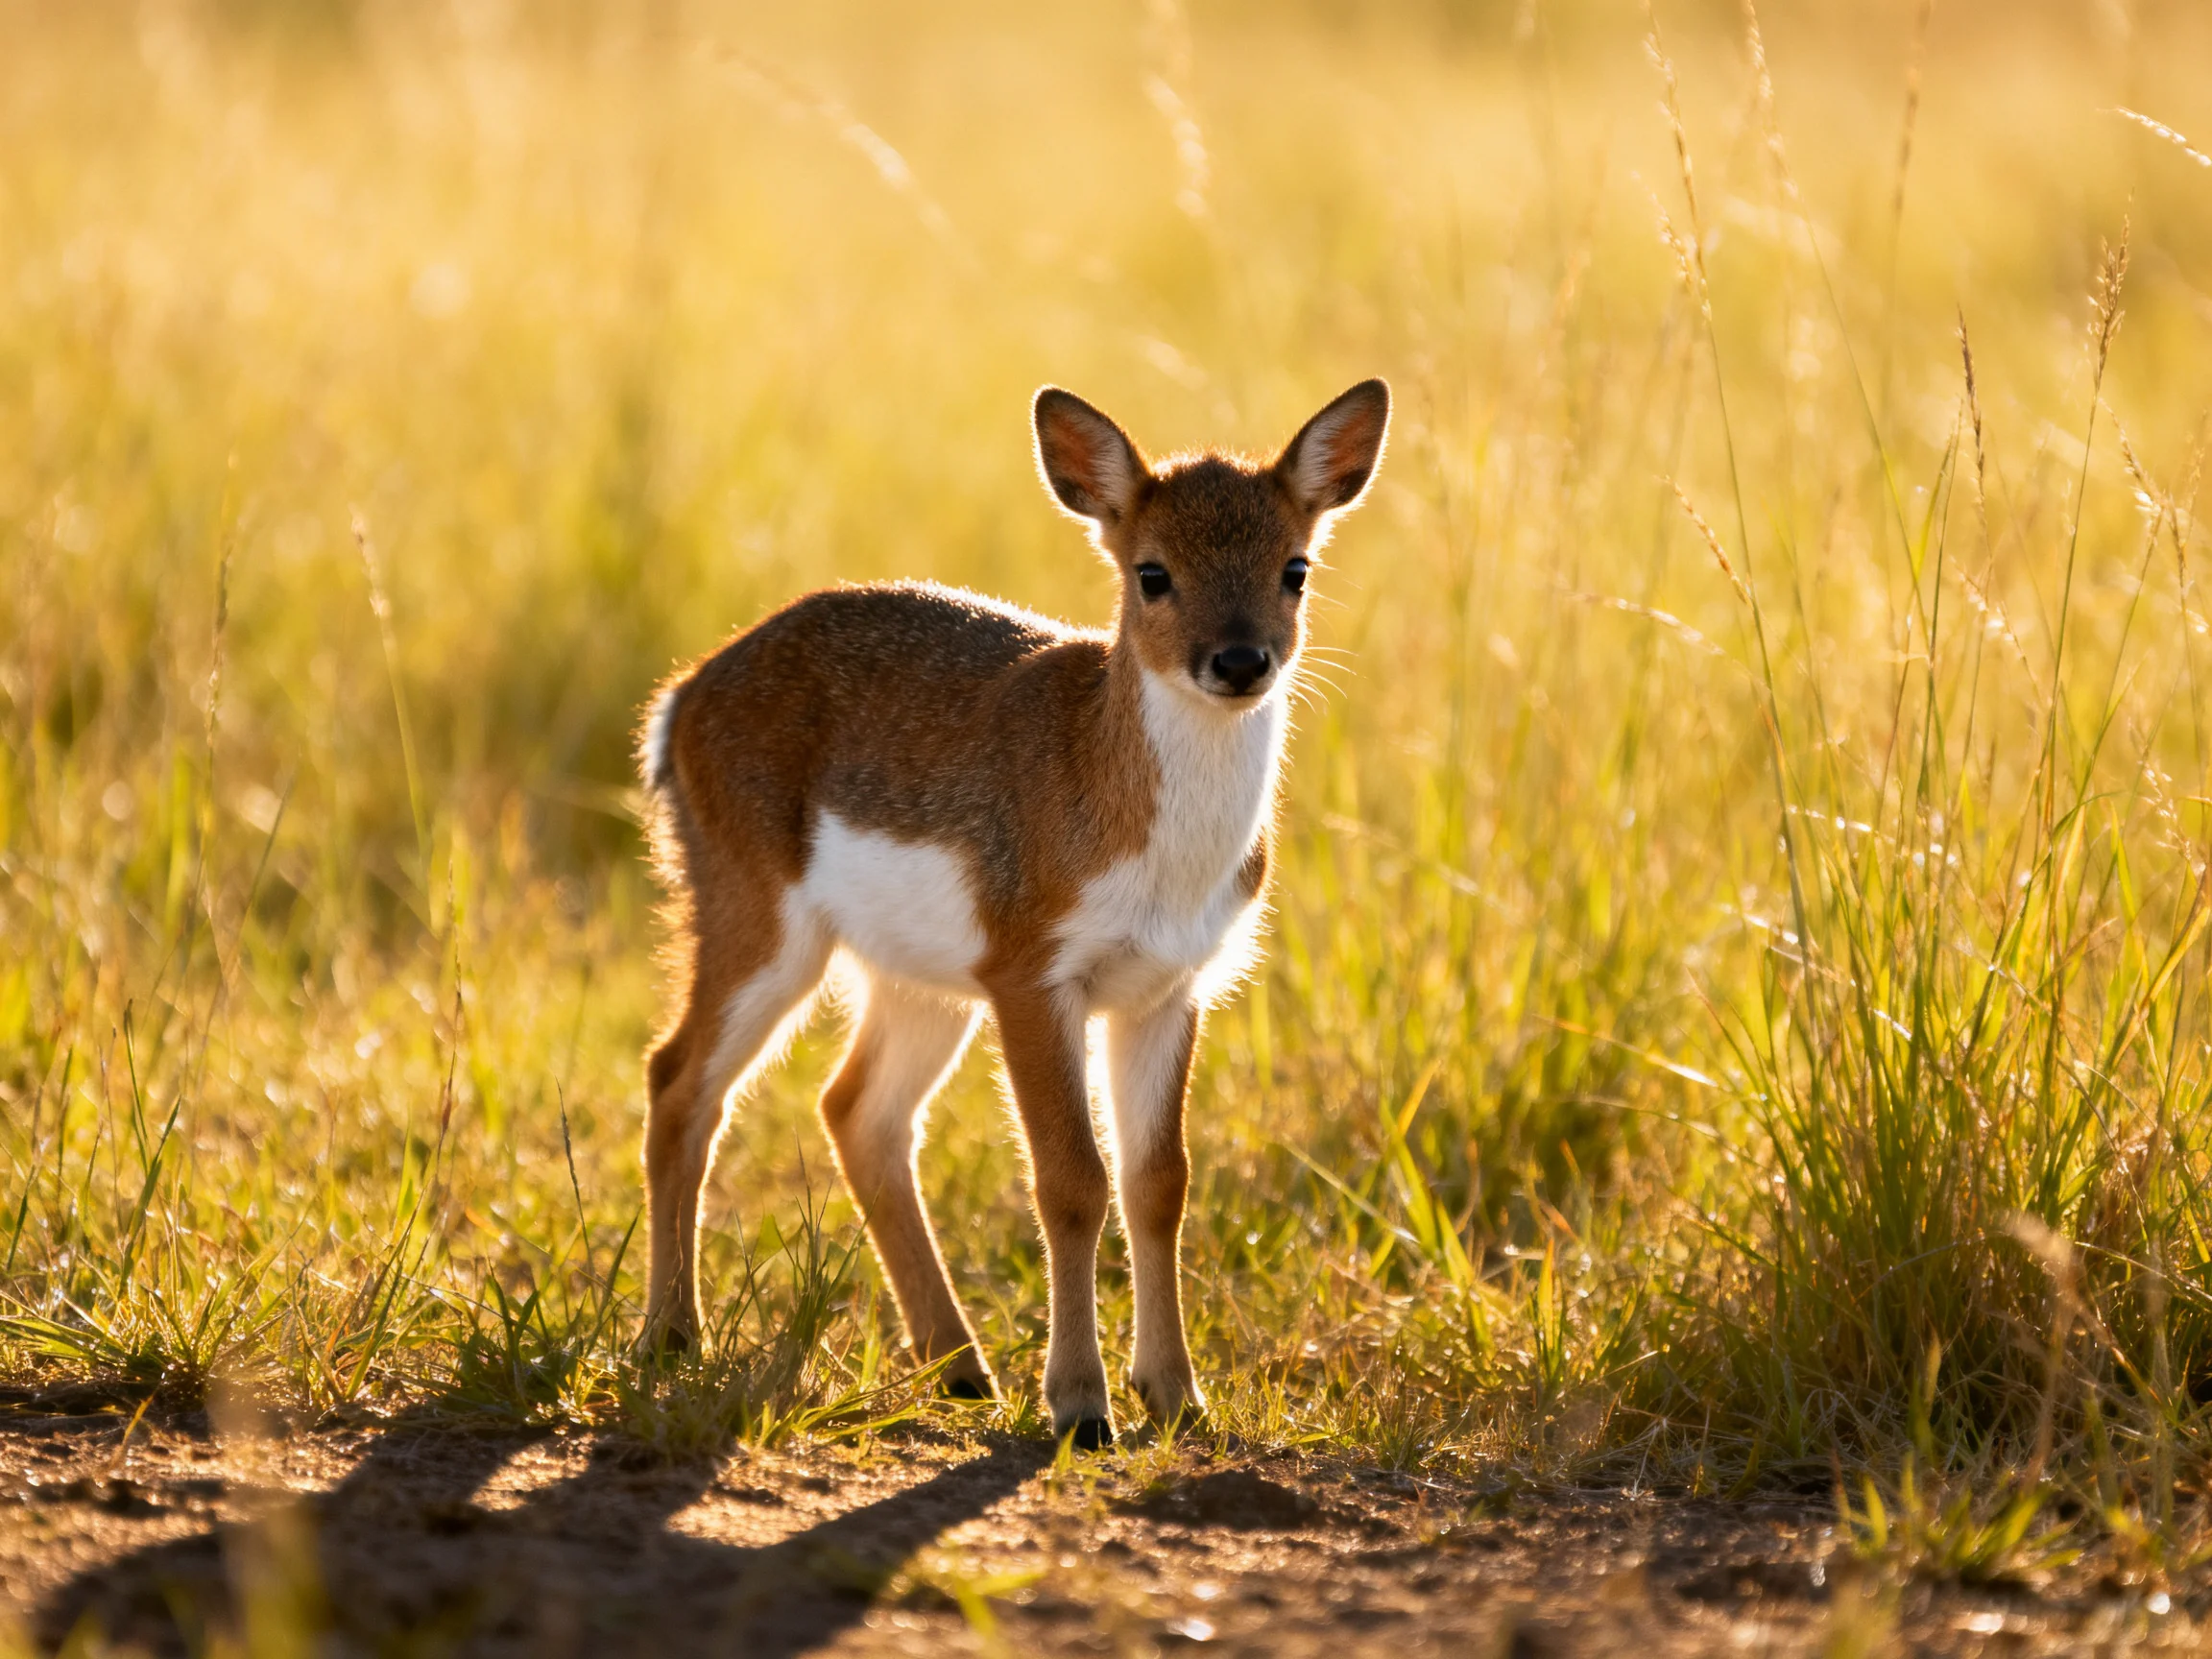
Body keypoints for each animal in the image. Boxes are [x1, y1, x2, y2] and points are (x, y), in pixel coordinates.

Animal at [636, 379, 1390, 1448]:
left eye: (1296, 566)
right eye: (1152, 572)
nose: (1239, 660)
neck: (1149, 854)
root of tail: (677, 700)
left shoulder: (1168, 986)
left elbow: (1159, 1182)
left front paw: (1178, 1396)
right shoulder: (1035, 970)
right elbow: (1070, 1181)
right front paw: (1079, 1404)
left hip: (922, 980)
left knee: (855, 1109)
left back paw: (958, 1366)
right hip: (758, 920)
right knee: (679, 1081)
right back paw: (671, 1338)